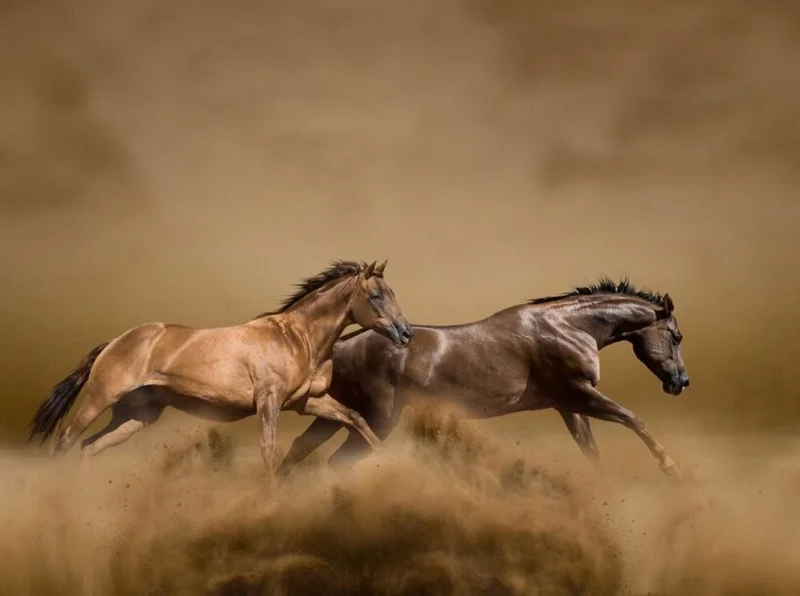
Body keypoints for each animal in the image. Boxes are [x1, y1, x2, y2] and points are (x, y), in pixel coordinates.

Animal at [28, 260, 413, 476]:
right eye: (376, 296)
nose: (406, 333)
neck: (296, 337)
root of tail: (113, 342)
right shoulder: (269, 401)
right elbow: (268, 448)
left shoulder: (307, 402)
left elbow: (356, 419)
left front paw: (389, 462)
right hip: (99, 398)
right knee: (65, 440)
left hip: (136, 415)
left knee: (89, 446)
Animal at [276, 278, 690, 478]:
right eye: (676, 336)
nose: (681, 383)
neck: (569, 327)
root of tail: (340, 346)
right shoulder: (579, 394)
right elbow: (632, 418)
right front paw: (670, 467)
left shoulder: (568, 405)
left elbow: (591, 450)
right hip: (378, 419)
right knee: (336, 461)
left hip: (341, 415)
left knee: (298, 449)